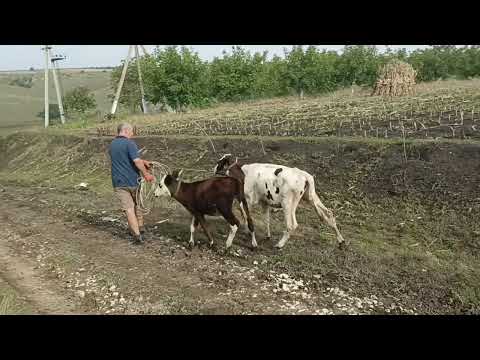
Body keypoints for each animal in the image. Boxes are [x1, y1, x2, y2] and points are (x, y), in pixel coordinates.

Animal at [214, 153, 344, 249]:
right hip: (311, 197)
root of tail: (304, 175)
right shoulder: (265, 202)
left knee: (292, 224)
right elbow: (266, 219)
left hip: (288, 204)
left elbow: (246, 217)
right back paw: (340, 241)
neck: (242, 171)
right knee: (329, 214)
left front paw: (247, 232)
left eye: (220, 161)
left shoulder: (247, 200)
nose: (214, 168)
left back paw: (279, 245)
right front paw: (267, 235)